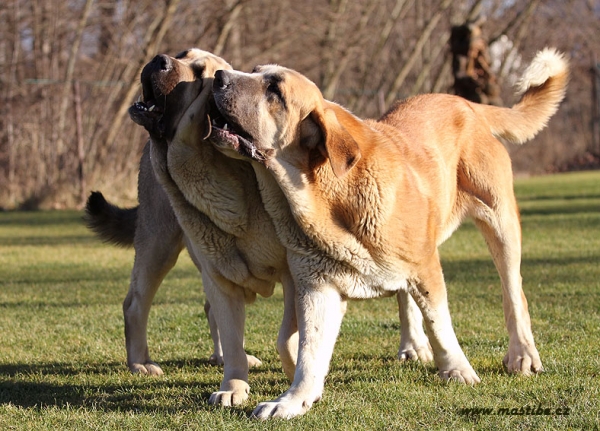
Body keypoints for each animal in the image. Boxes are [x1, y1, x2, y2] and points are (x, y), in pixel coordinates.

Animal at [209, 48, 568, 418]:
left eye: (274, 90)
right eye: (254, 71)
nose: (219, 77)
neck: (325, 193)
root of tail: (466, 104)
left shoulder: (426, 267)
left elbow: (440, 324)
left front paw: (458, 370)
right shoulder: (317, 285)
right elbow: (308, 349)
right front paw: (294, 399)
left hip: (500, 223)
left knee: (513, 293)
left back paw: (522, 355)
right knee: (405, 297)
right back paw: (412, 345)